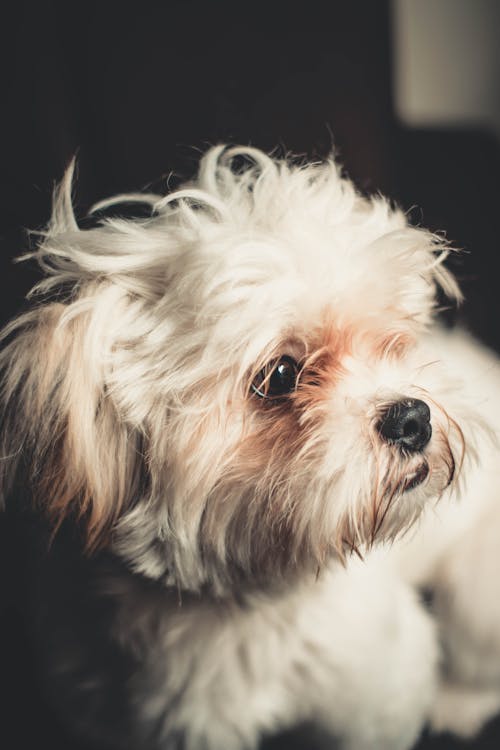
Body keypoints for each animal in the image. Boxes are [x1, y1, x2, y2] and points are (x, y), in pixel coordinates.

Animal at [0, 144, 498, 748]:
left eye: (394, 343)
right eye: (280, 375)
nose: (413, 418)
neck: (237, 610)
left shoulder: (376, 697)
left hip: (477, 591)